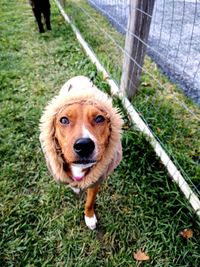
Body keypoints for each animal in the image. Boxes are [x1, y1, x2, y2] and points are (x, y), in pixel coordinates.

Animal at [39, 76, 122, 230]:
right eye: (63, 120)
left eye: (99, 118)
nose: (84, 145)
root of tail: (80, 77)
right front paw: (75, 187)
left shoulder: (95, 181)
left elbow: (89, 202)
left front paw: (89, 217)